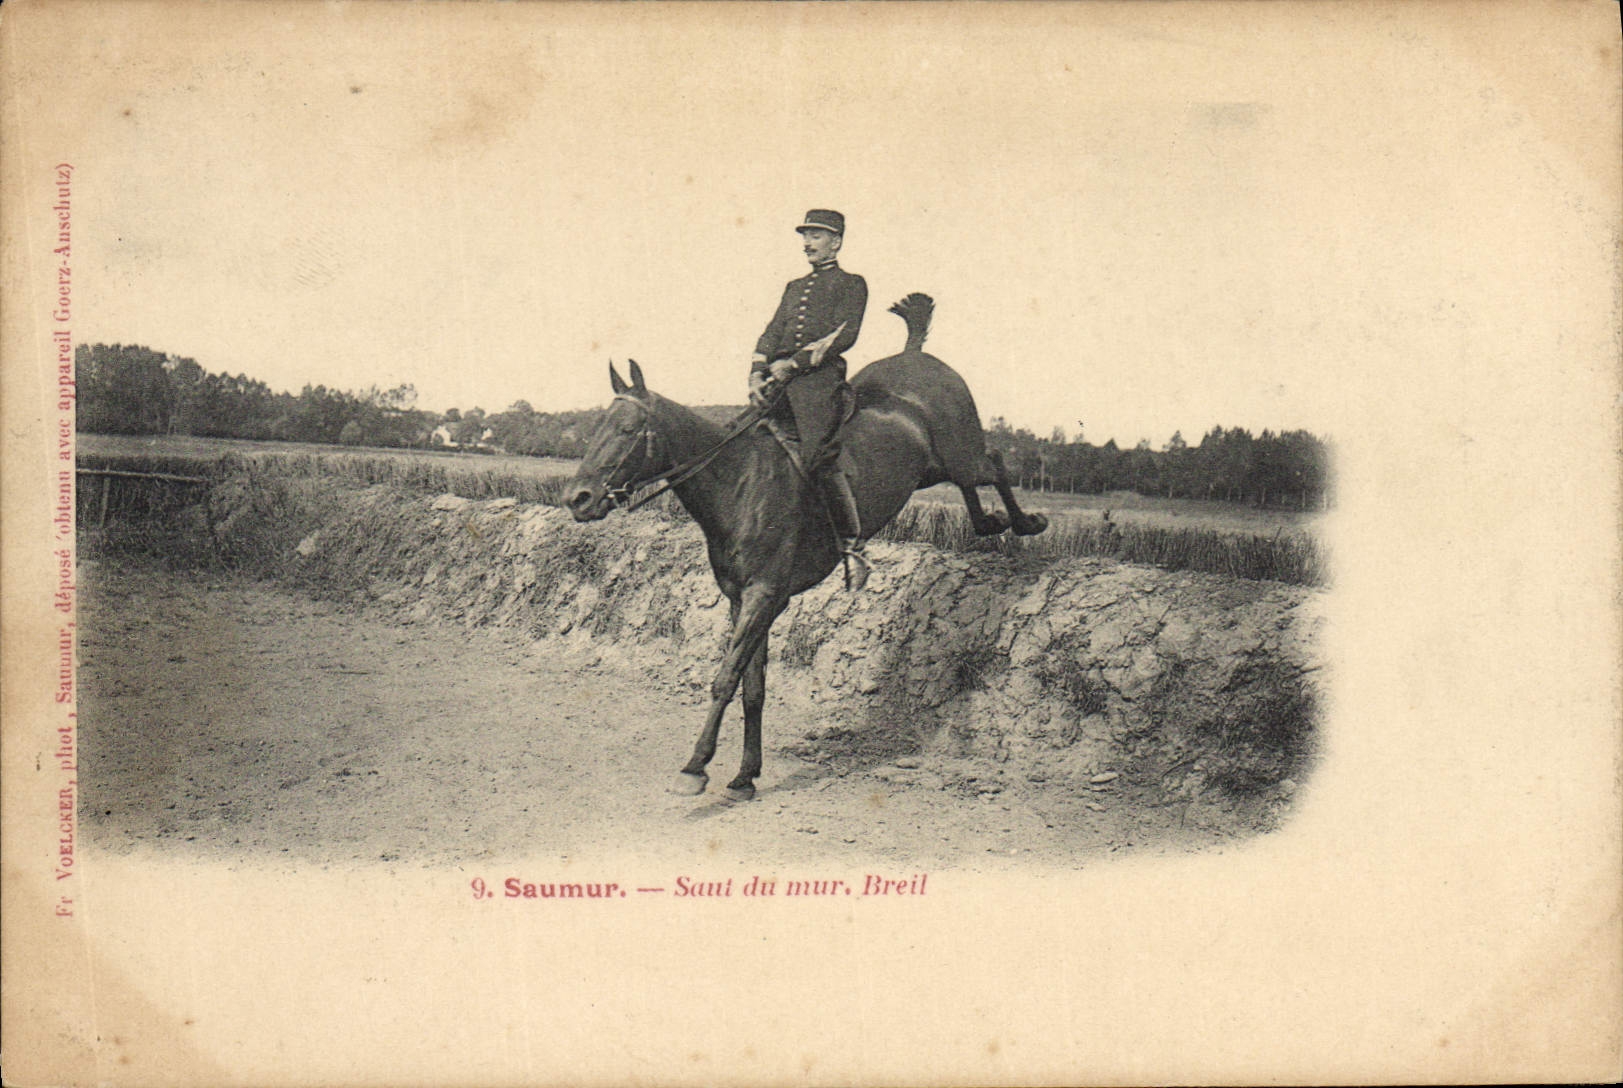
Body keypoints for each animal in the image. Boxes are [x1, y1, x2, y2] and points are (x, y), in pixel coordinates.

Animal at [565, 294, 1048, 801]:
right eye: (596, 427)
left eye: (627, 429)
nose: (578, 499)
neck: (740, 483)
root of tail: (915, 354)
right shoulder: (744, 601)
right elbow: (752, 686)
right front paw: (745, 775)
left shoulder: (763, 596)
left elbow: (725, 678)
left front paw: (696, 765)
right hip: (934, 468)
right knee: (972, 481)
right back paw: (990, 522)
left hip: (960, 451)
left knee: (994, 462)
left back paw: (1025, 522)